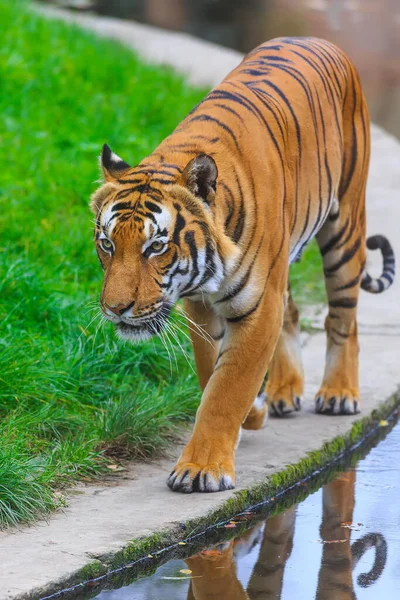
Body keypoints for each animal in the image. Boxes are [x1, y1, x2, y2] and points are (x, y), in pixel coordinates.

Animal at [90, 38, 394, 496]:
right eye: (107, 244)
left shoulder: (258, 304)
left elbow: (228, 387)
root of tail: (320, 41)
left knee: (343, 316)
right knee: (294, 311)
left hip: (345, 227)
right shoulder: (201, 304)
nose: (115, 309)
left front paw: (200, 470)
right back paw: (285, 392)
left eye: (156, 246)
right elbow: (211, 373)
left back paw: (339, 393)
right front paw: (254, 412)